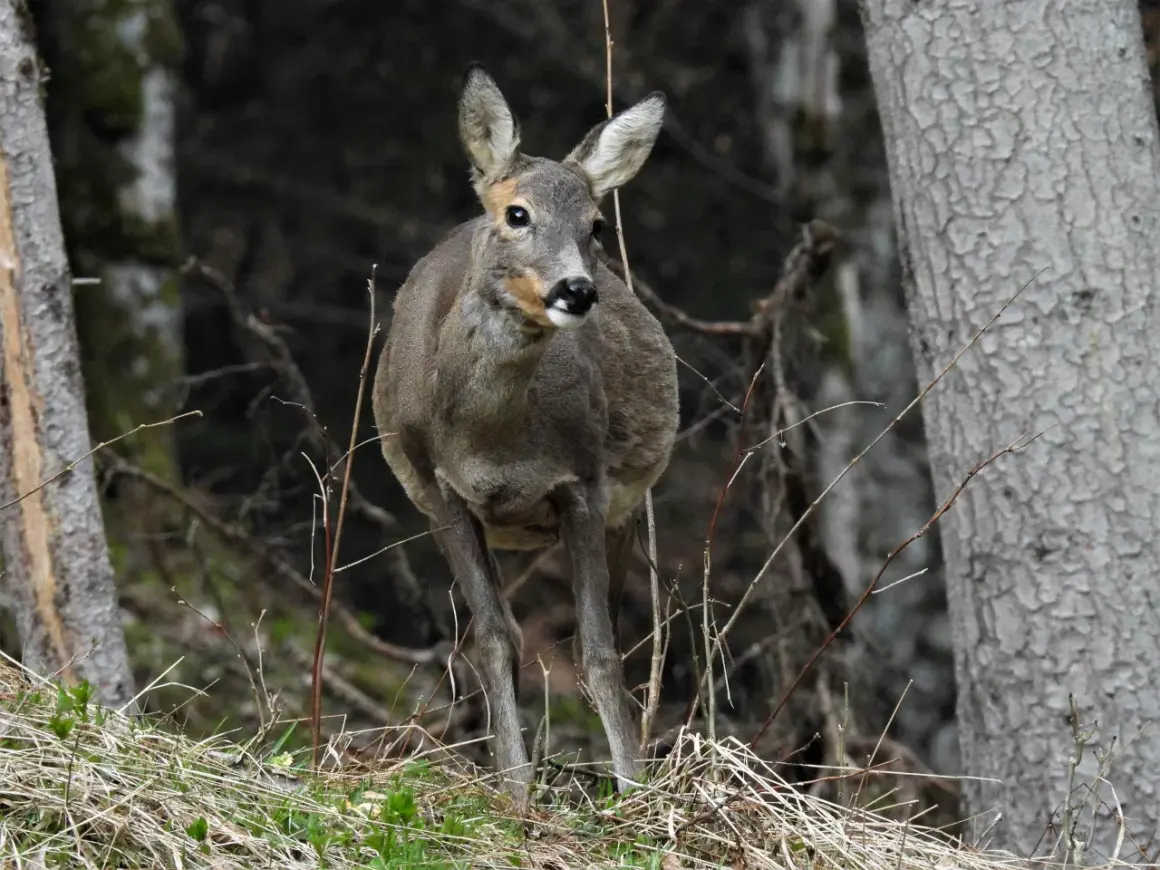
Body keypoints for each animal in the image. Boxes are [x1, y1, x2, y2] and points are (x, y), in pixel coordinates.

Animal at [372, 63, 679, 805]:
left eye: (596, 223)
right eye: (517, 214)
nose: (575, 290)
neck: (493, 446)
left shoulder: (584, 483)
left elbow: (597, 650)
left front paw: (634, 792)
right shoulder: (440, 492)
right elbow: (492, 639)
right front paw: (515, 790)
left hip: (625, 505)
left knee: (615, 630)